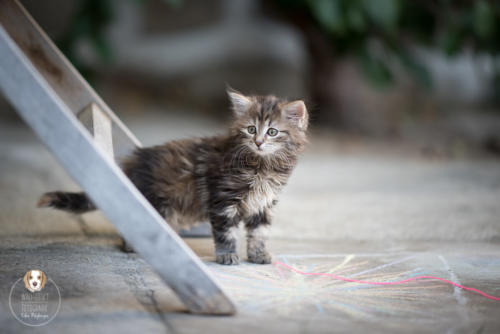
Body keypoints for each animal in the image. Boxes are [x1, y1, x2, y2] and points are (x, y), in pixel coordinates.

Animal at [38, 89, 308, 266]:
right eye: (251, 129)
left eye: (272, 132)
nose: (259, 142)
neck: (262, 166)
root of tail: (130, 166)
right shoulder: (223, 201)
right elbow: (226, 233)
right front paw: (226, 255)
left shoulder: (263, 204)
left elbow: (259, 234)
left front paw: (258, 255)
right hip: (155, 204)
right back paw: (137, 245)